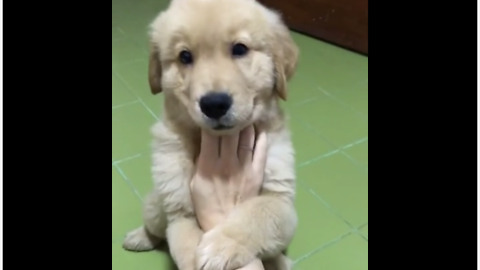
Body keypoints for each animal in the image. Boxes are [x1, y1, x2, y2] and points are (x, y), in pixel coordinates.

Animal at [122, 1, 298, 268]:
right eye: (185, 56)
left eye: (239, 49)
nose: (214, 104)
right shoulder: (179, 211)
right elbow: (186, 247)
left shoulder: (280, 200)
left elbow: (256, 216)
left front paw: (222, 245)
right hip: (156, 205)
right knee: (155, 227)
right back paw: (139, 238)